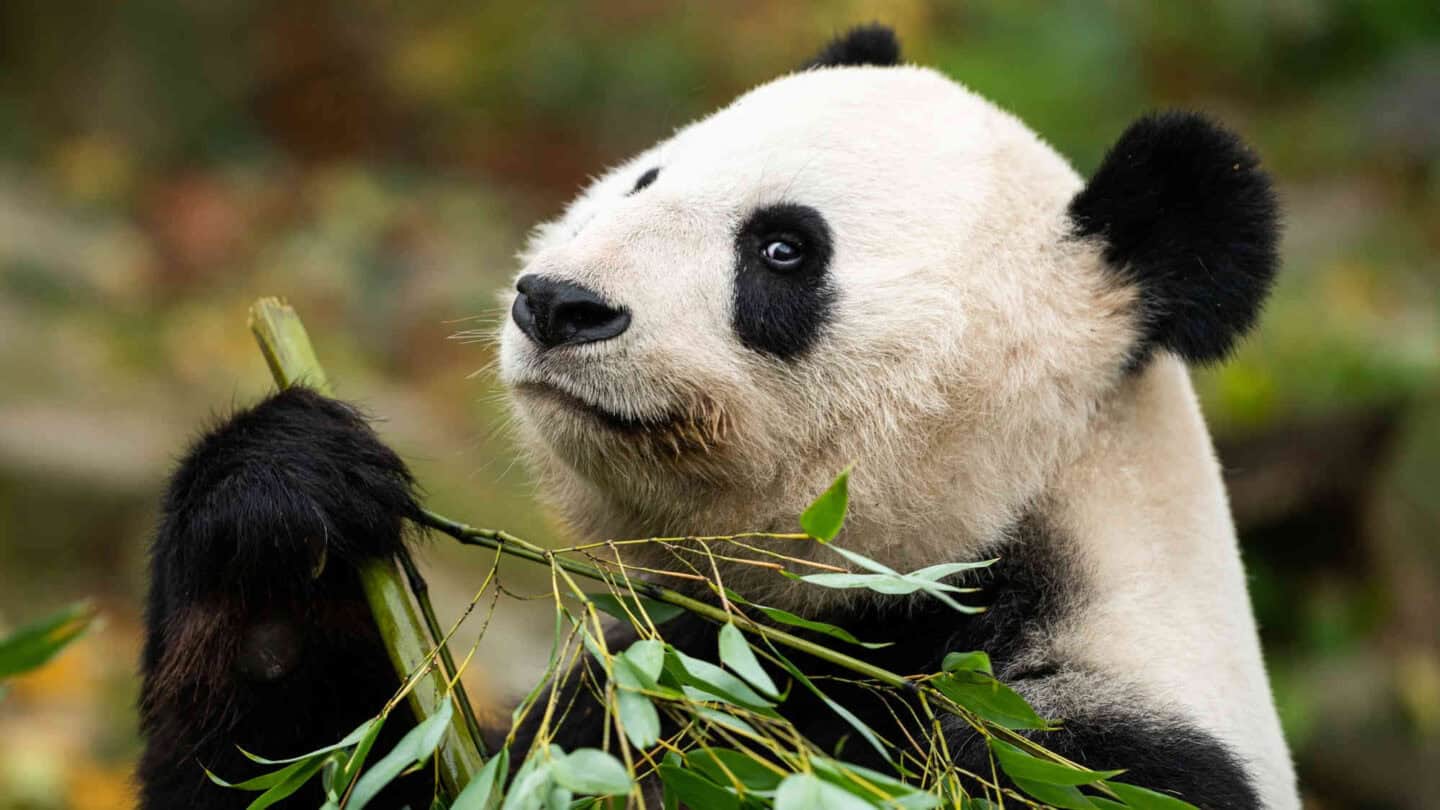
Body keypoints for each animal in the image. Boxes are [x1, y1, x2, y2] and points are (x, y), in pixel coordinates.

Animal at [140, 25, 1301, 807]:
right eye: (644, 181)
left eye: (783, 249)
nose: (557, 304)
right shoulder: (636, 686)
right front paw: (285, 501)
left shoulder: (1079, 753)